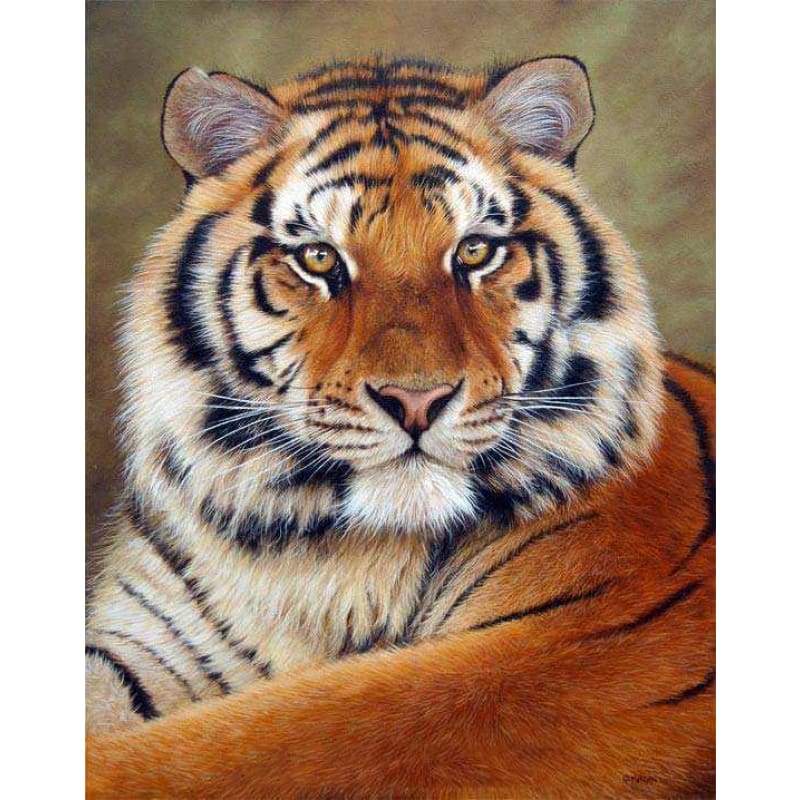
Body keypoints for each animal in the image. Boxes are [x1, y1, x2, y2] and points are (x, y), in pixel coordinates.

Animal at [86, 55, 715, 799]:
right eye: (319, 259)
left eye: (474, 252)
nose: (416, 400)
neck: (324, 556)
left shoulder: (570, 649)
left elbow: (254, 745)